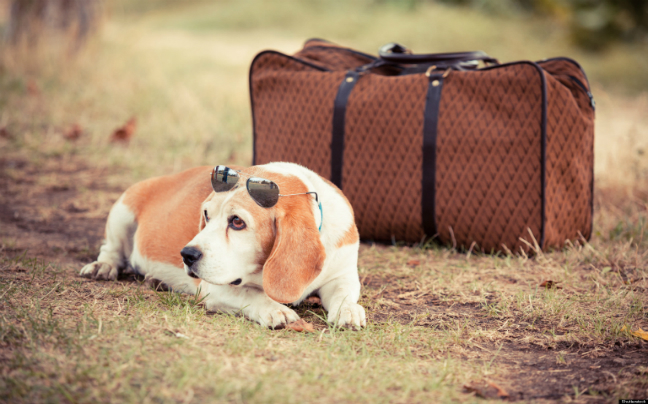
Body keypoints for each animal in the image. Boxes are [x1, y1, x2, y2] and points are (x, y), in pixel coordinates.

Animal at [77, 161, 364, 328]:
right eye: (206, 214)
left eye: (237, 222)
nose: (186, 254)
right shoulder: (214, 288)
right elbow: (251, 293)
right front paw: (275, 310)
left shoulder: (342, 274)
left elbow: (344, 292)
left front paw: (348, 310)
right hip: (122, 211)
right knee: (111, 250)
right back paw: (102, 267)